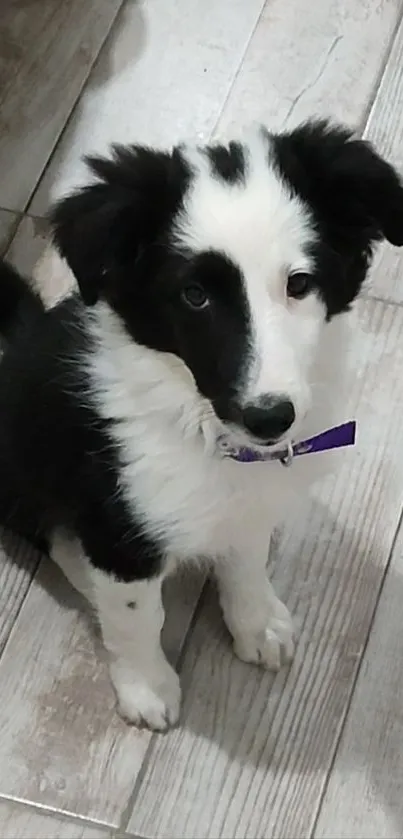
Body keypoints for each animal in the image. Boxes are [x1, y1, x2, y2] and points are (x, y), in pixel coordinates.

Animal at [0, 121, 403, 732]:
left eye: (300, 283)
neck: (202, 430)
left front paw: (256, 623)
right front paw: (146, 688)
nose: (270, 417)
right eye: (195, 295)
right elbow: (137, 615)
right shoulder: (119, 525)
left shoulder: (251, 499)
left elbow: (247, 558)